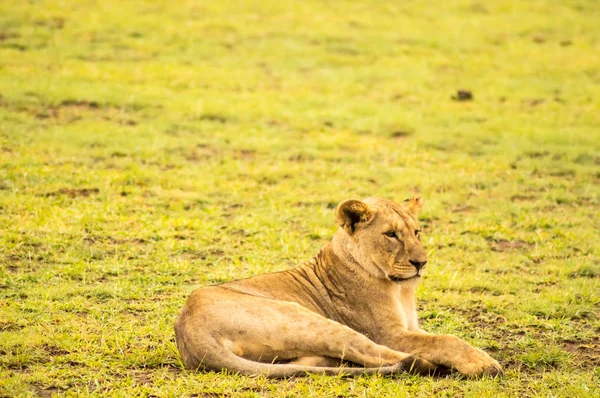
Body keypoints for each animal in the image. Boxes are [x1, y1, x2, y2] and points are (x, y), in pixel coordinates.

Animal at [175, 197, 502, 378]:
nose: (421, 262)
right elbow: (445, 340)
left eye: (417, 232)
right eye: (391, 234)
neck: (400, 290)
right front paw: (481, 362)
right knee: (377, 354)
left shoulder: (411, 328)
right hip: (305, 318)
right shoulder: (390, 334)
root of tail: (190, 332)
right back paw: (428, 365)